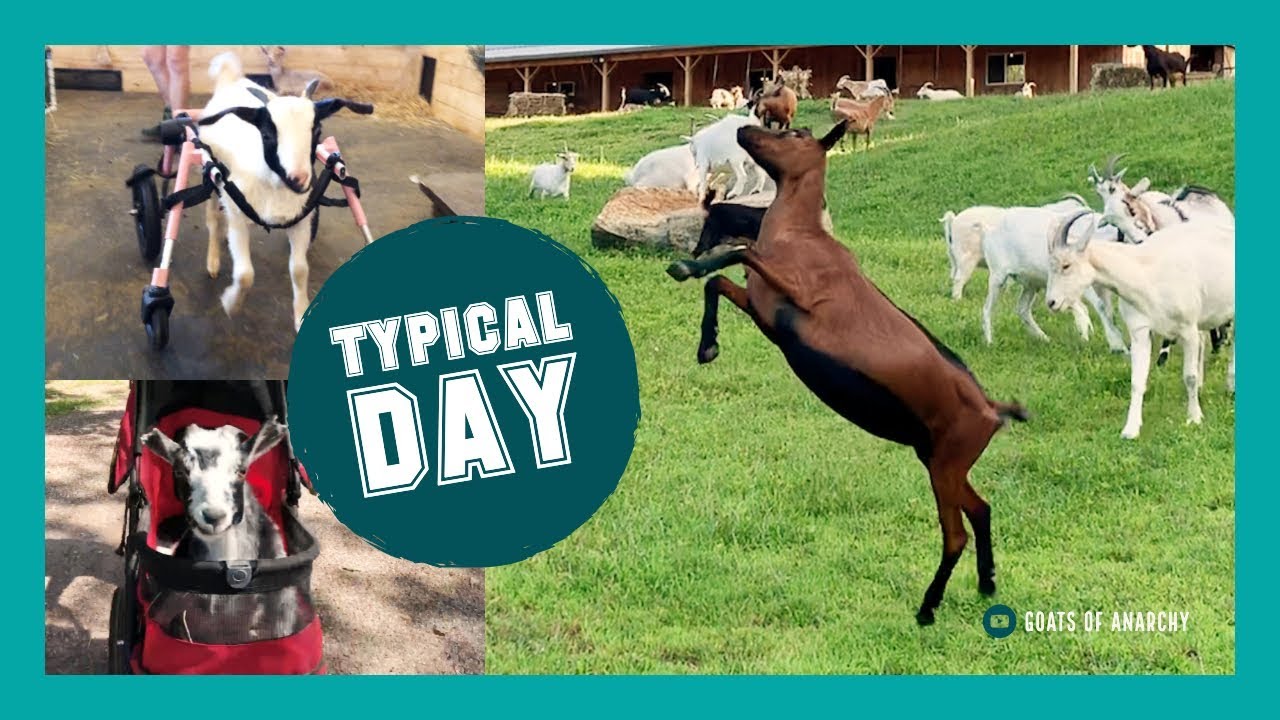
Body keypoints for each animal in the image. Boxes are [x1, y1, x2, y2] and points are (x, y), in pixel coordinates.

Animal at [199, 52, 372, 331]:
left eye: (317, 130)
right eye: (267, 133)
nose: (299, 179)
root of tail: (231, 78)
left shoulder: (302, 220)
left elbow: (299, 270)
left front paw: (300, 315)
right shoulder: (238, 216)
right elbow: (245, 274)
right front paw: (230, 304)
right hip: (212, 177)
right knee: (213, 219)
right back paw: (213, 261)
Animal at [666, 120, 1028, 625]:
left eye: (796, 134)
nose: (744, 129)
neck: (800, 235)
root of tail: (994, 410)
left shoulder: (799, 294)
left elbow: (740, 252)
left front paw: (686, 265)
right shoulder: (765, 312)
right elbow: (721, 281)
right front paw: (707, 345)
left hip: (946, 464)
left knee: (955, 533)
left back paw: (928, 607)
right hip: (939, 459)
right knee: (982, 509)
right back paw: (987, 582)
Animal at [980, 206, 1129, 352]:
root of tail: (989, 231)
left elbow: (1105, 310)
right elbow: (1096, 306)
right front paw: (1113, 345)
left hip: (1031, 286)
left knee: (1022, 309)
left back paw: (1045, 339)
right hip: (998, 278)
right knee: (987, 308)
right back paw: (990, 343)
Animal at [1047, 210, 1234, 439]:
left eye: (1066, 265)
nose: (1051, 302)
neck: (1145, 273)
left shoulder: (1187, 328)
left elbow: (1188, 376)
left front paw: (1194, 418)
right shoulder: (1140, 331)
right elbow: (1137, 381)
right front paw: (1130, 429)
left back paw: (1230, 386)